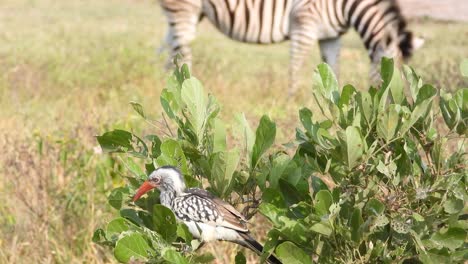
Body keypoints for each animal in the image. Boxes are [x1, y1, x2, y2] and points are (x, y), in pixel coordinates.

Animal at [157, 0, 424, 95]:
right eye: (389, 73)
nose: (401, 103)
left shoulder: (330, 37)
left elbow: (333, 69)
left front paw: (337, 101)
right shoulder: (304, 25)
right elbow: (296, 66)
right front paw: (292, 99)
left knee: (170, 49)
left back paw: (170, 87)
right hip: (184, 8)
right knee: (182, 50)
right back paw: (184, 86)